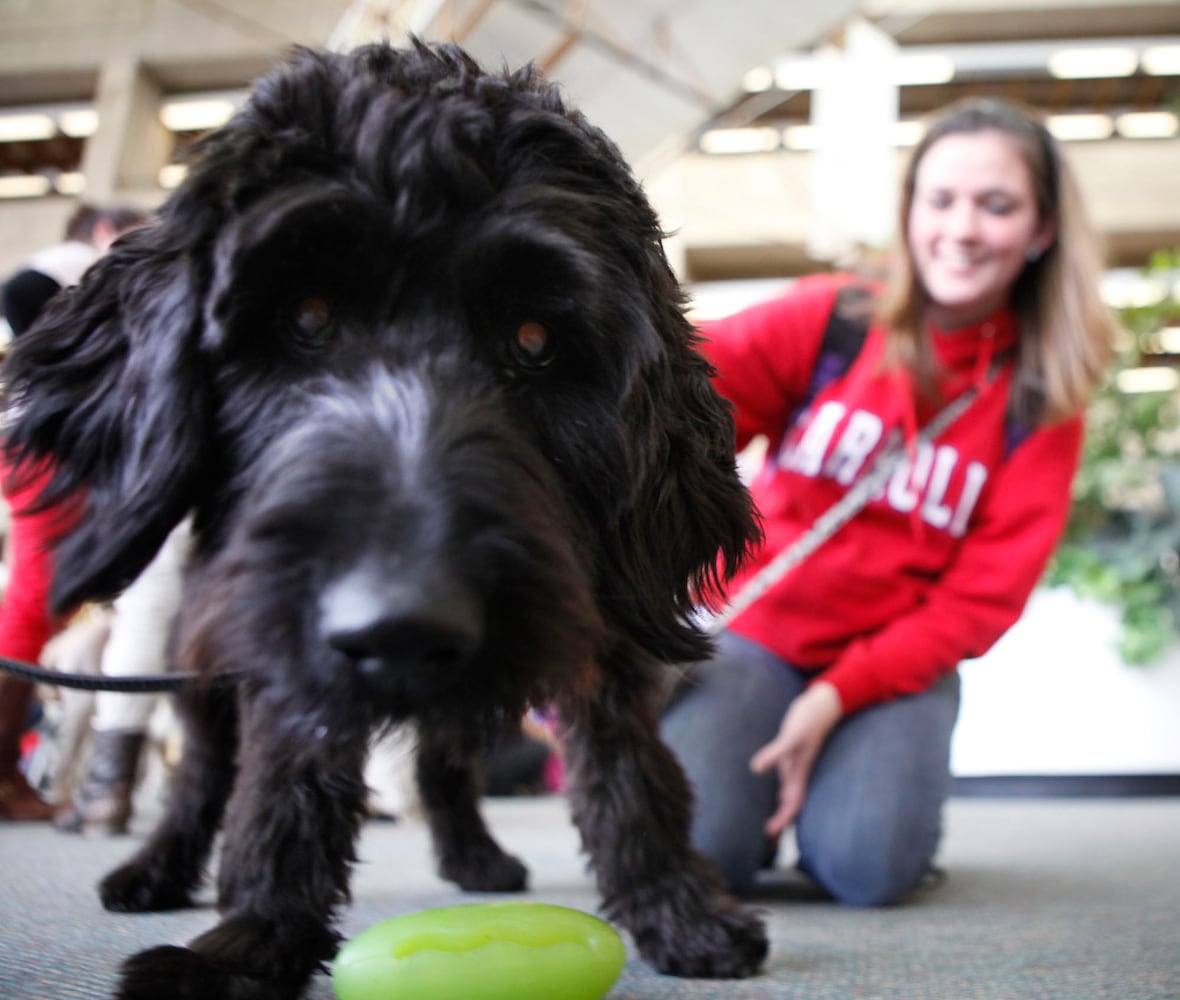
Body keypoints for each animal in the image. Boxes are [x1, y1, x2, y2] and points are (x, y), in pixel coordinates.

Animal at [2, 41, 764, 1000]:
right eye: (306, 316)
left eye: (535, 339)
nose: (400, 626)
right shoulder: (277, 651)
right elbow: (278, 788)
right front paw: (251, 942)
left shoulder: (602, 631)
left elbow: (630, 772)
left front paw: (677, 910)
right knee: (202, 775)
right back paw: (156, 866)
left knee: (444, 759)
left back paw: (473, 854)